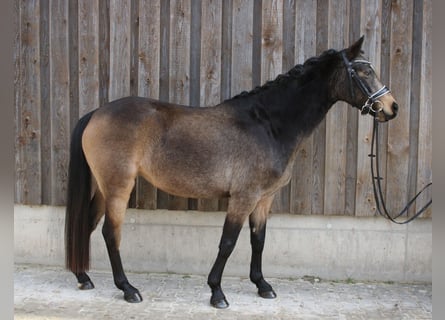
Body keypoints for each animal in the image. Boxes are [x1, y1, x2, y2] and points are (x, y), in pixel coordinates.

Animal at [65, 36, 396, 308]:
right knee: (110, 233)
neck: (268, 124)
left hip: (103, 187)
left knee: (89, 224)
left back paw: (84, 278)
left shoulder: (263, 199)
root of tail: (96, 113)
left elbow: (258, 240)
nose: (391, 107)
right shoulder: (243, 197)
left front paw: (262, 285)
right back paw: (128, 289)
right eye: (364, 72)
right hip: (118, 187)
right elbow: (228, 242)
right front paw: (217, 293)